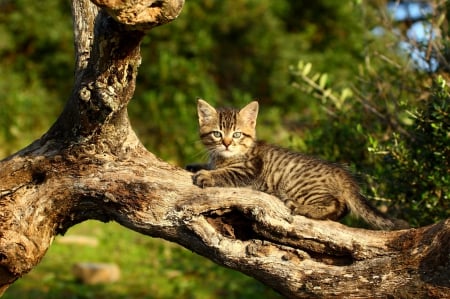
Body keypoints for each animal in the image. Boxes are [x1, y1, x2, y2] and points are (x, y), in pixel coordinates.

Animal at [190, 99, 408, 231]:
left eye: (237, 134)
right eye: (217, 134)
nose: (226, 143)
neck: (225, 157)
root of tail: (343, 175)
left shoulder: (248, 171)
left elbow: (225, 173)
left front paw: (206, 175)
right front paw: (196, 166)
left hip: (300, 186)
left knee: (335, 204)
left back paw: (302, 208)